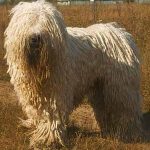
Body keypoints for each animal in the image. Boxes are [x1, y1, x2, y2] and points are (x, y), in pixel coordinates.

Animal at [4, 0, 143, 149]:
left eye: (46, 23)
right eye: (27, 21)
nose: (35, 37)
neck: (38, 68)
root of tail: (121, 33)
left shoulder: (56, 94)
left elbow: (52, 117)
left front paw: (47, 140)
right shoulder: (32, 95)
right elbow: (36, 113)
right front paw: (34, 126)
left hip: (120, 85)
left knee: (125, 107)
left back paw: (127, 132)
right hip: (99, 86)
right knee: (104, 107)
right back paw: (108, 129)